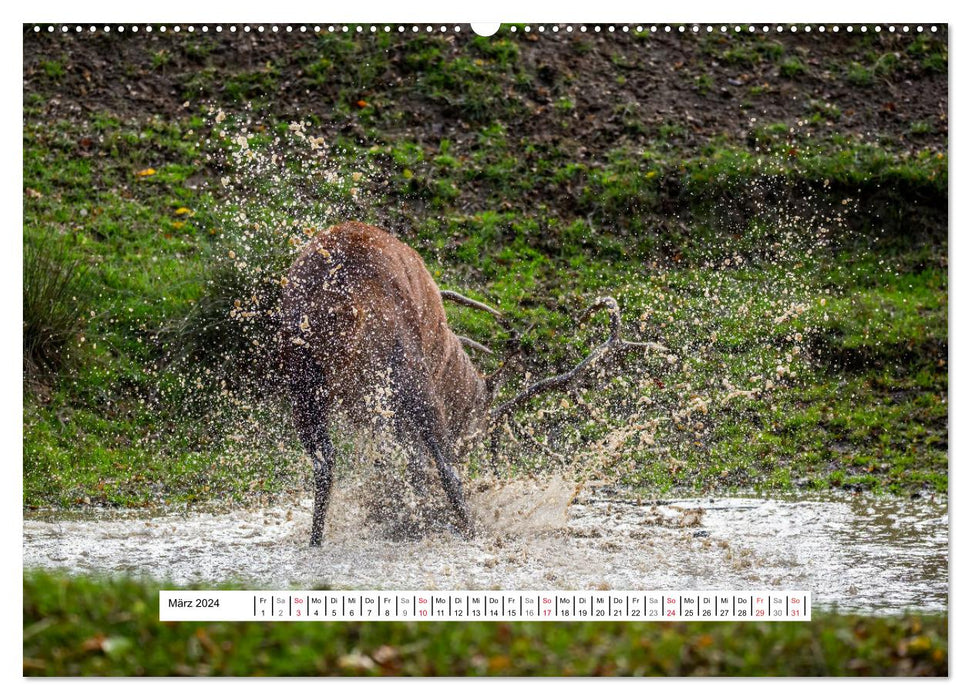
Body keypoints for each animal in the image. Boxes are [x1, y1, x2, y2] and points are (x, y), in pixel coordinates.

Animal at [278, 221, 664, 544]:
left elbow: (394, 461)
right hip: (404, 368)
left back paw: (317, 539)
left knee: (324, 461)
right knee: (443, 465)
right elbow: (417, 461)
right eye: (477, 428)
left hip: (303, 378)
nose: (467, 448)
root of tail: (342, 299)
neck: (448, 355)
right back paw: (471, 528)